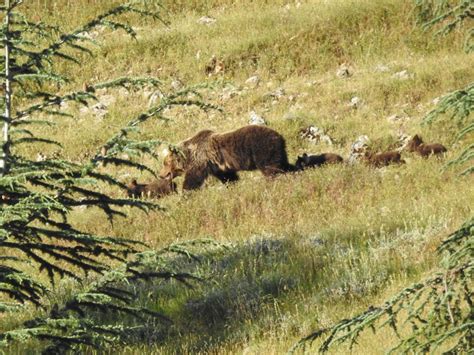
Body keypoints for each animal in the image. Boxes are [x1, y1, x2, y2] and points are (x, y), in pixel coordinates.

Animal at [159, 126, 296, 191]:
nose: (160, 175)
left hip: (263, 149)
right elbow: (228, 177)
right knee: (283, 165)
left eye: (165, 163)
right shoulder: (217, 167)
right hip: (278, 152)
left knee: (271, 169)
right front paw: (232, 185)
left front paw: (186, 193)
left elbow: (193, 179)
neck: (188, 155)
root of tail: (280, 137)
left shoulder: (200, 161)